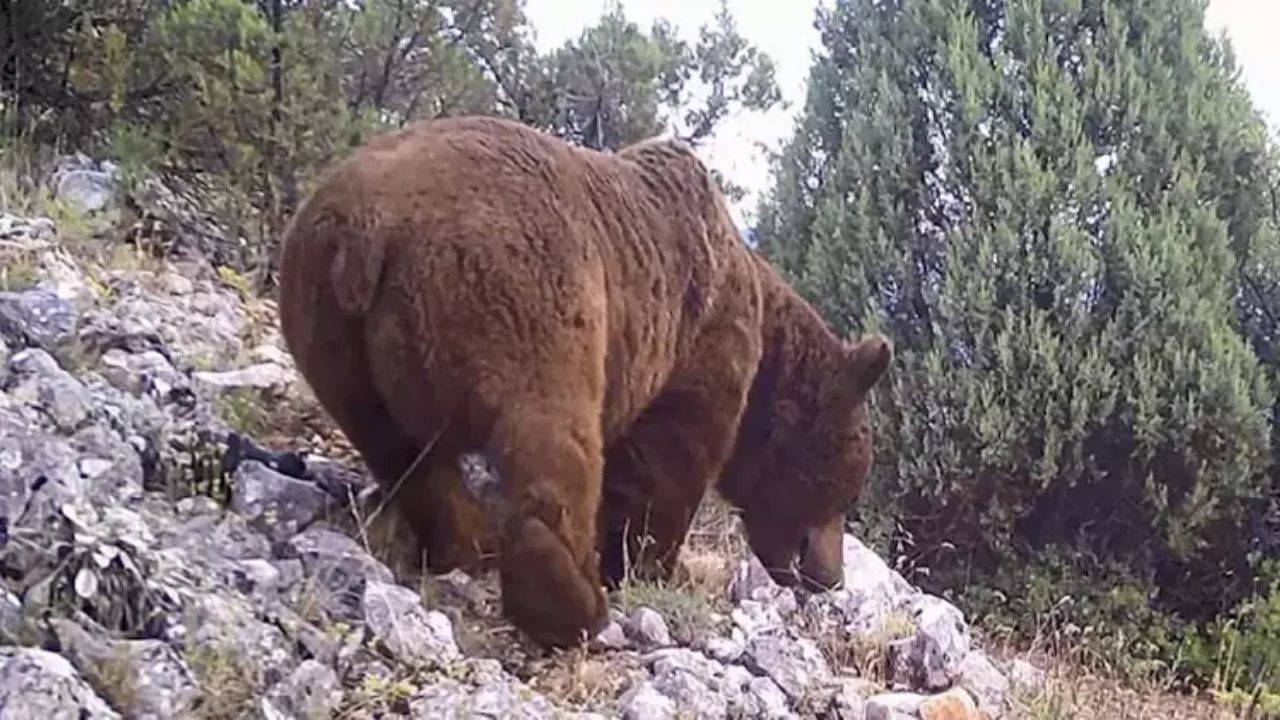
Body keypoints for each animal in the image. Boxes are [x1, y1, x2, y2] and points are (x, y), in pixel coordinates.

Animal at [275, 114, 896, 648]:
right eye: (844, 489)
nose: (829, 577)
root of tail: (367, 228)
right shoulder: (699, 339)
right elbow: (667, 463)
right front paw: (649, 566)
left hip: (327, 327)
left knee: (402, 453)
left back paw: (468, 541)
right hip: (521, 289)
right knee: (550, 435)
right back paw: (571, 605)